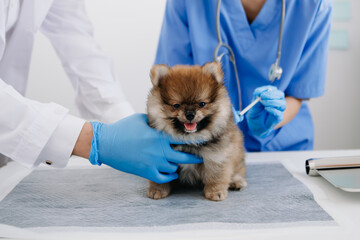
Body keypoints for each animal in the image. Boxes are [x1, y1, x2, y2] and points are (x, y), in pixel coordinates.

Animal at [146, 62, 245, 201]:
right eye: (176, 105)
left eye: (202, 104)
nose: (190, 114)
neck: (189, 140)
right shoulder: (161, 158)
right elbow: (160, 177)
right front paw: (157, 190)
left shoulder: (216, 156)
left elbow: (216, 175)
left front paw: (215, 192)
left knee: (239, 169)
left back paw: (236, 181)